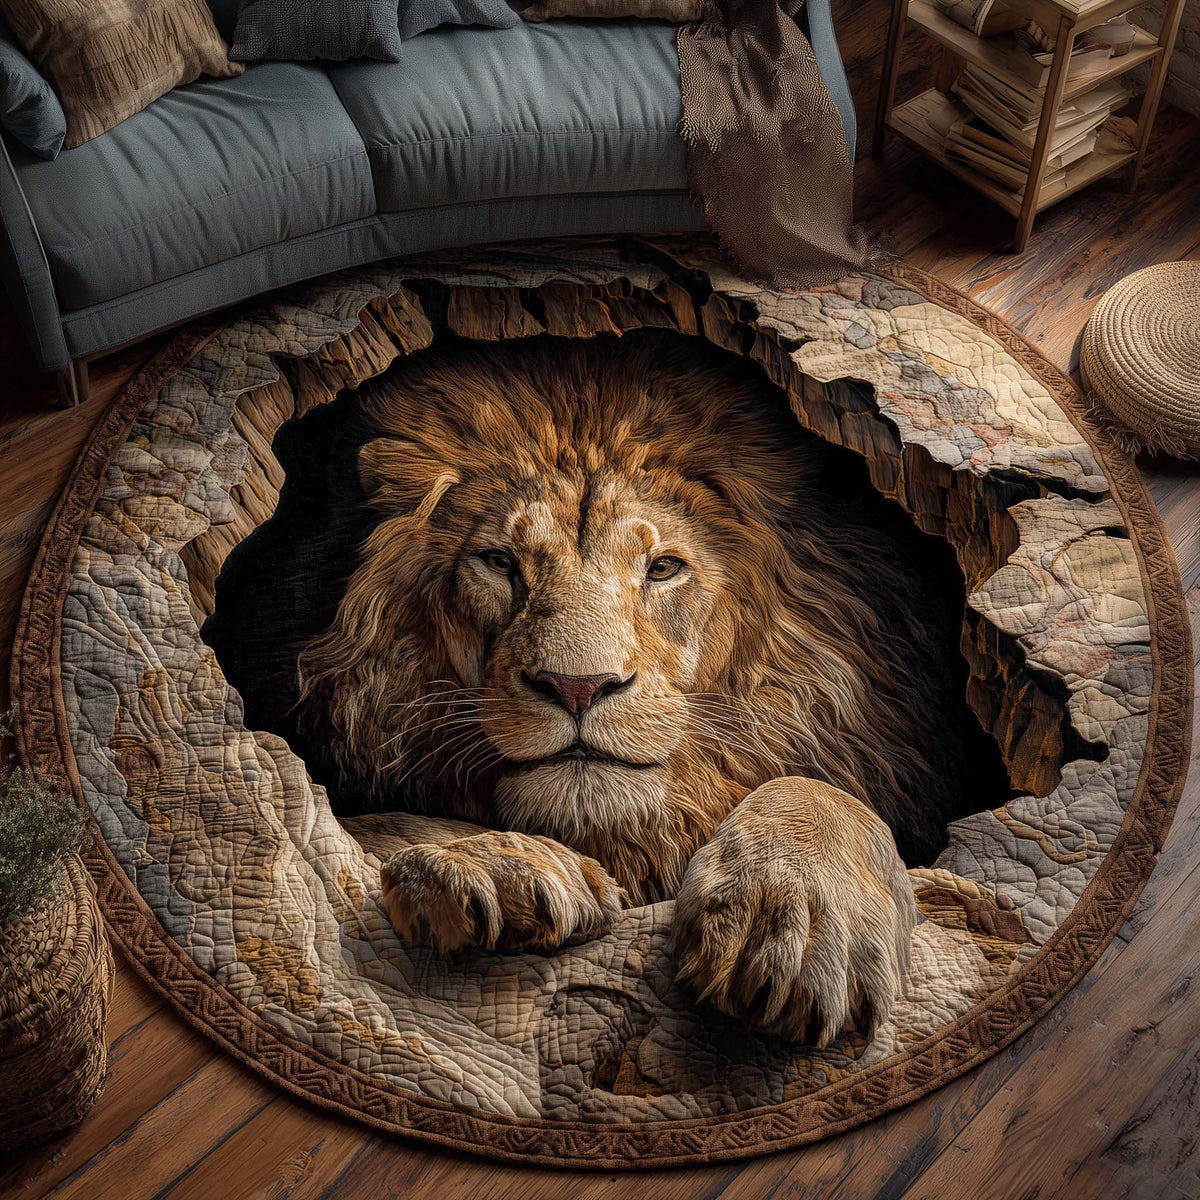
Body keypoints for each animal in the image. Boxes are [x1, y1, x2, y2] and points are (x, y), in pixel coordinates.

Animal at [294, 330, 1005, 1045]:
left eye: (663, 568)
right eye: (499, 562)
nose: (578, 687)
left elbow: (819, 792)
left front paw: (790, 927)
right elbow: (361, 814)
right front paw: (493, 864)